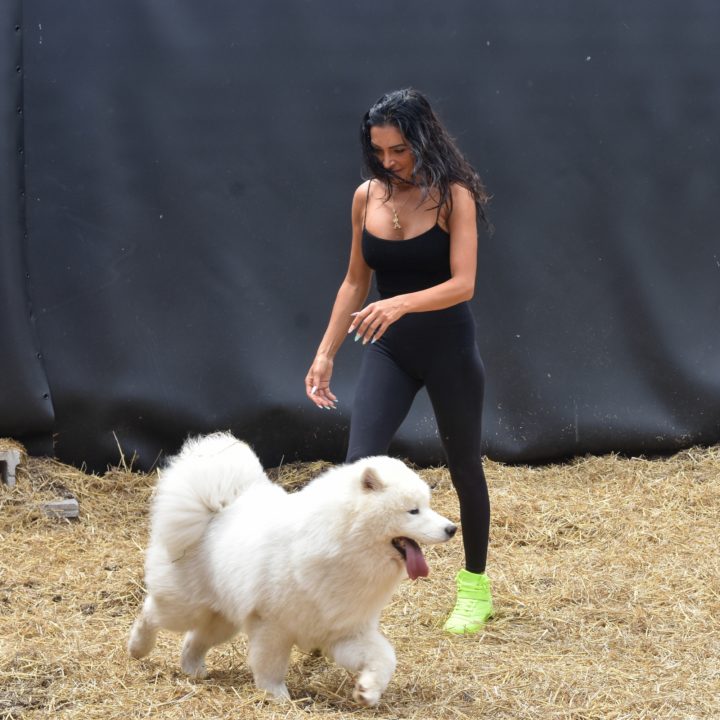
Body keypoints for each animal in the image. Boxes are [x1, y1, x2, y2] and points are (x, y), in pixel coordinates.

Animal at [129, 430, 456, 704]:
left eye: (427, 506)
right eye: (413, 511)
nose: (452, 528)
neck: (342, 543)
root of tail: (215, 510)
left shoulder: (344, 630)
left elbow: (385, 657)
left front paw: (368, 691)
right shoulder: (272, 625)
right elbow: (270, 666)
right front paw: (277, 697)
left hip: (222, 618)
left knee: (194, 640)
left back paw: (192, 669)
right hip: (186, 605)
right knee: (152, 613)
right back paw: (137, 647)